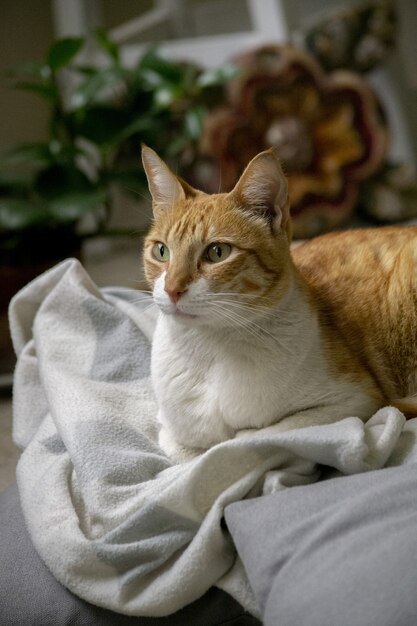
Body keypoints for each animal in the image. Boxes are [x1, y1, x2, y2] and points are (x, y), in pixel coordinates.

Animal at [141, 144, 416, 460]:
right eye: (162, 251)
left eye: (217, 252)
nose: (172, 289)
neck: (210, 348)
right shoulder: (171, 430)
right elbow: (189, 451)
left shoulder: (354, 400)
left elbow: (244, 441)